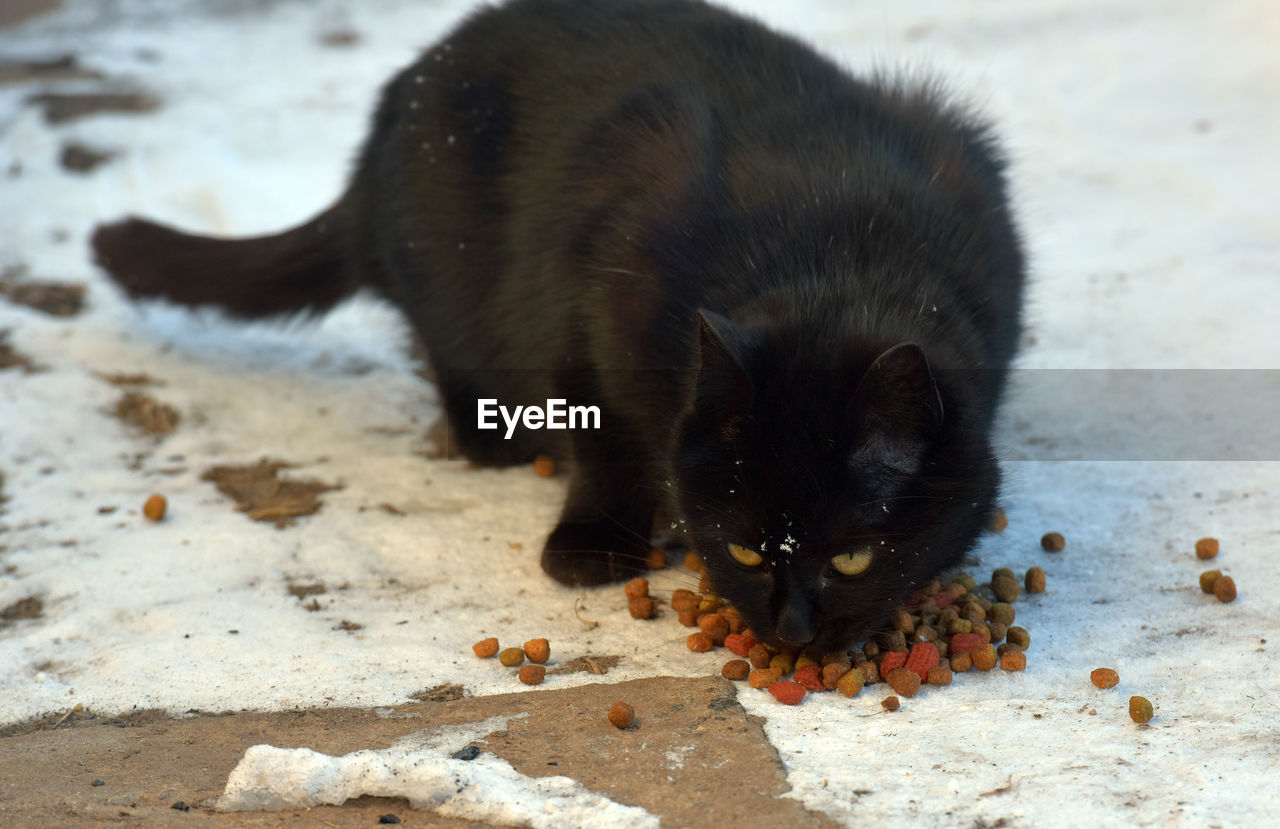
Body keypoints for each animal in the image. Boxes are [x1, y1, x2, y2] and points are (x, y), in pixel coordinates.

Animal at [94, 0, 1024, 655]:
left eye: (855, 558)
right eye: (748, 553)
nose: (793, 632)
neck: (838, 256)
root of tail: (388, 121)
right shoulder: (599, 278)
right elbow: (607, 427)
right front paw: (590, 545)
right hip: (450, 264)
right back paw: (491, 435)